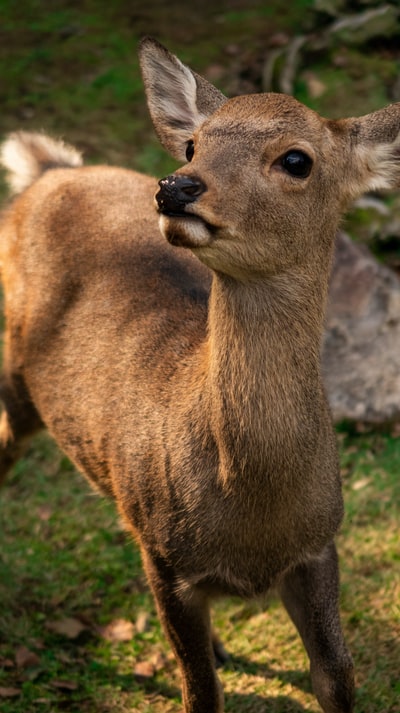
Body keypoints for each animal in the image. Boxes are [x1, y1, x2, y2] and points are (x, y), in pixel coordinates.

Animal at [0, 37, 400, 712]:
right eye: (194, 144)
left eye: (297, 159)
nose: (176, 187)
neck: (254, 514)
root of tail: (50, 172)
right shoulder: (168, 560)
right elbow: (200, 691)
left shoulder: (320, 544)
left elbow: (337, 676)